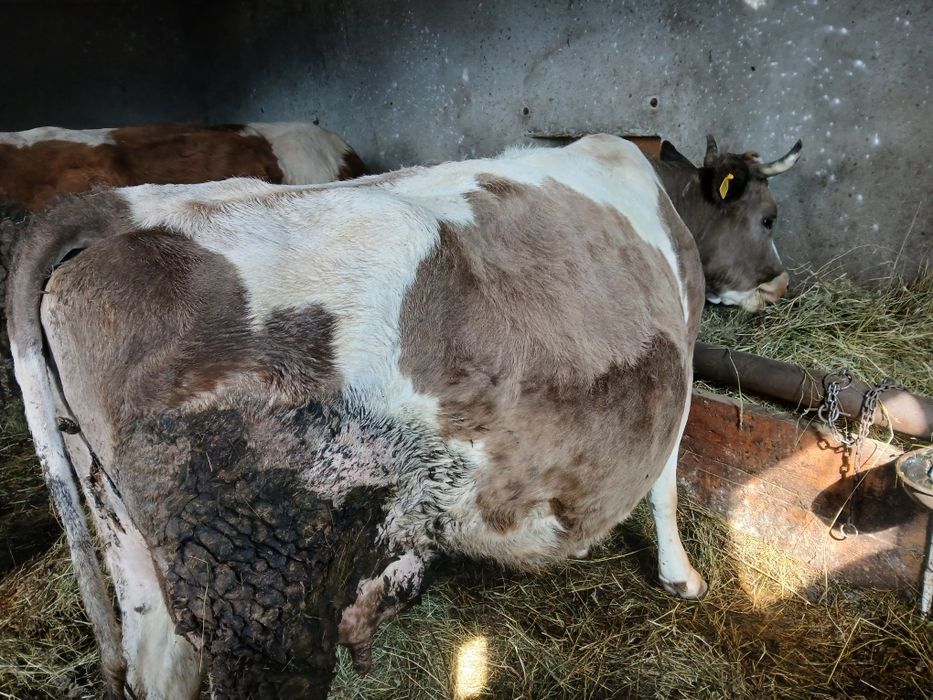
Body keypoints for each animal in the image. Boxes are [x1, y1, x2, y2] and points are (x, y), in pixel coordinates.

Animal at [7, 133, 801, 698]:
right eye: (767, 216)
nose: (782, 283)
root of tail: (131, 207)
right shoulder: (683, 355)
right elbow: (665, 482)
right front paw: (681, 577)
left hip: (127, 537)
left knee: (157, 670)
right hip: (257, 582)